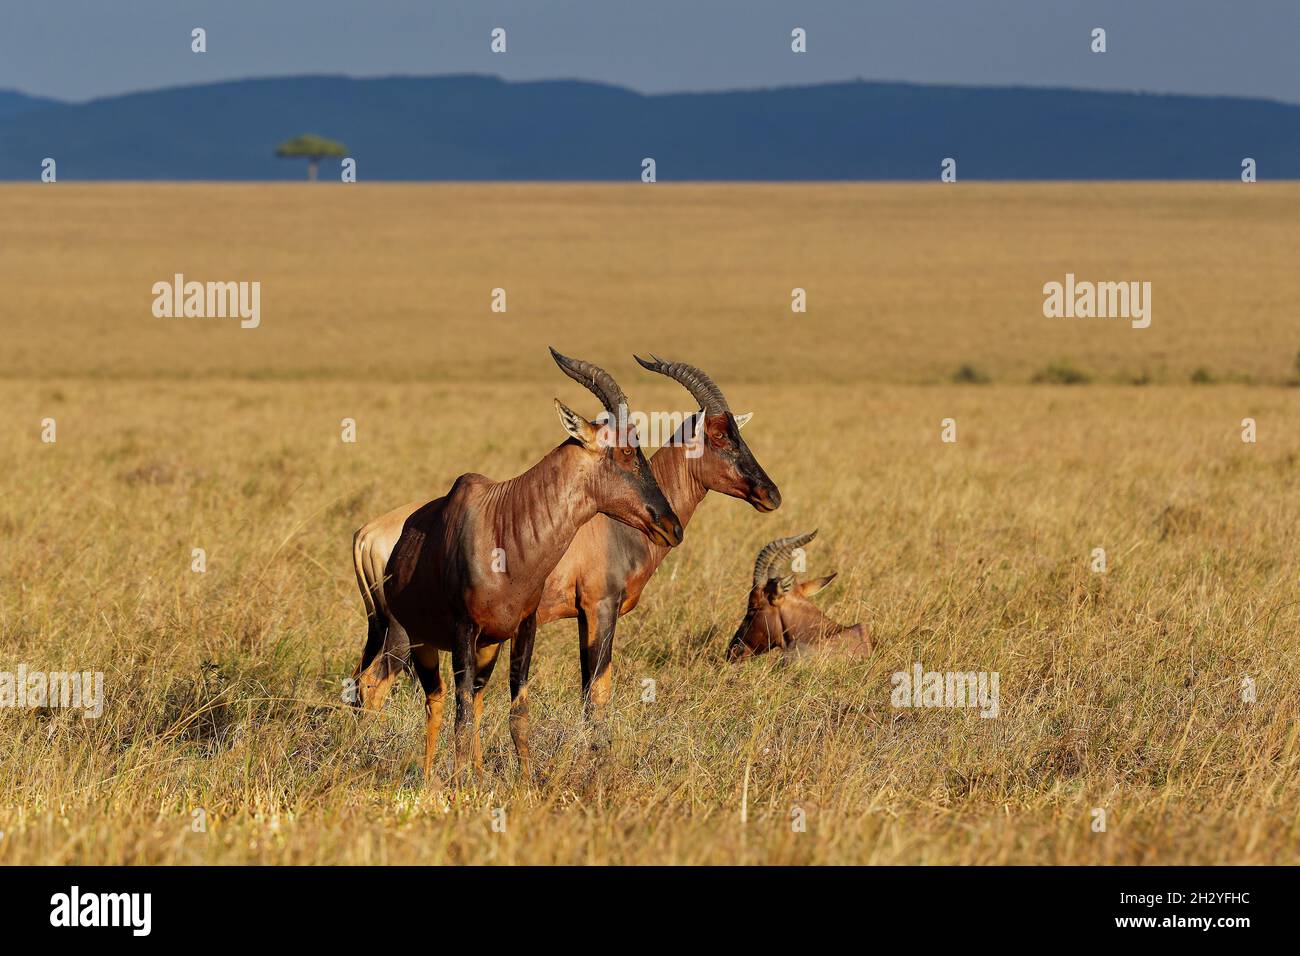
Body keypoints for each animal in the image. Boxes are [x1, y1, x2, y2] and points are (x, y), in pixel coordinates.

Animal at [348, 358, 780, 738]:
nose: (770, 494)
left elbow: (589, 688)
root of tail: (367, 533)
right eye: (719, 436)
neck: (609, 524)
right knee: (373, 683)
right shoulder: (601, 607)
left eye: (738, 433)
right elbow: (598, 691)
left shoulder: (581, 616)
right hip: (406, 630)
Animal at [358, 348, 681, 780]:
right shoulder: (463, 631)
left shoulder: (523, 629)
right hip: (416, 639)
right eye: (627, 451)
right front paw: (458, 785)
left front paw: (525, 783)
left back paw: (477, 775)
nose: (672, 526)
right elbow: (460, 715)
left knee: (474, 700)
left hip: (486, 646)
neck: (502, 524)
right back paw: (431, 778)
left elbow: (518, 712)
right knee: (435, 700)